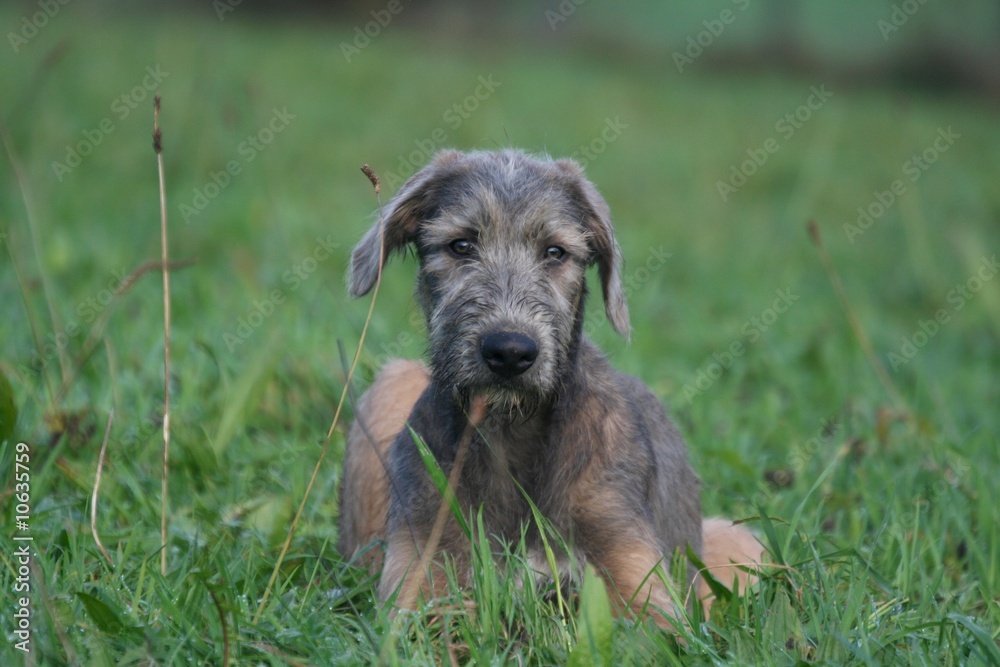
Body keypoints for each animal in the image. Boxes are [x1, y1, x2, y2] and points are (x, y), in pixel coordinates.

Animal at [340, 149, 760, 624]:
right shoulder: (421, 561)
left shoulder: (631, 562)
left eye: (555, 252)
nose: (509, 352)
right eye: (461, 245)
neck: (511, 430)